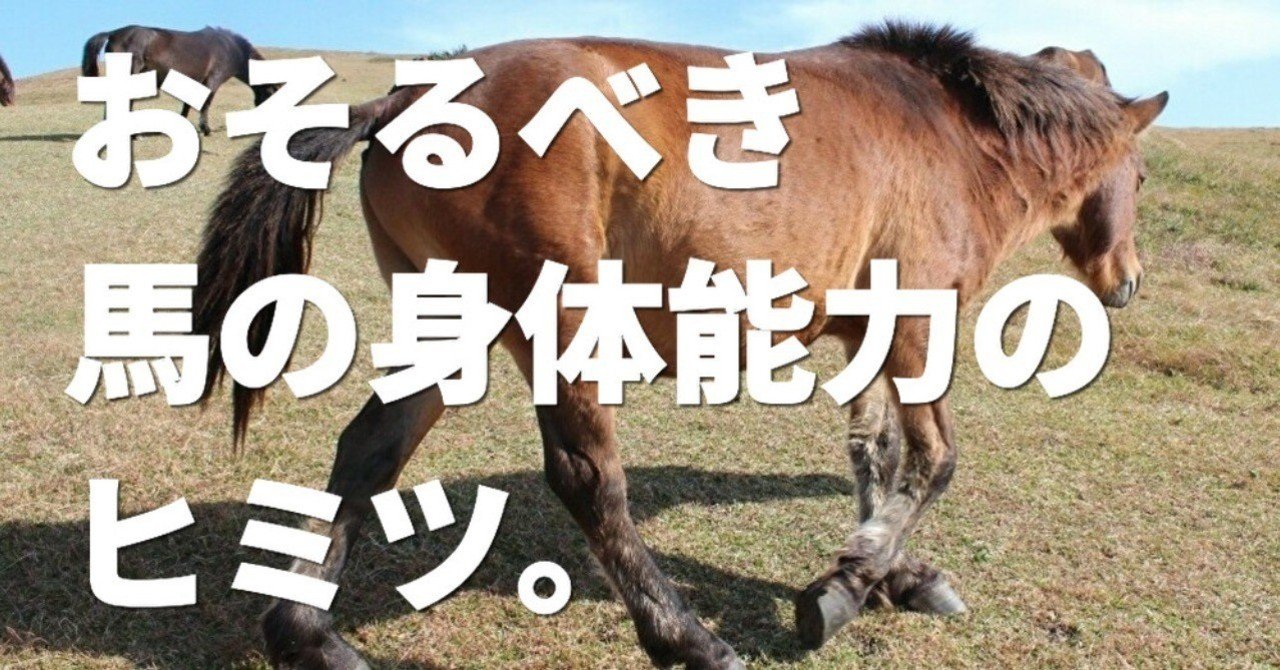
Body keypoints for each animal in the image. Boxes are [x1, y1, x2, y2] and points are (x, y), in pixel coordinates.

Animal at [81, 25, 279, 135]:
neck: (231, 49)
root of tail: (113, 33)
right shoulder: (212, 82)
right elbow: (205, 104)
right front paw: (206, 130)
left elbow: (187, 107)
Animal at [192, 22, 1167, 669]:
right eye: (1145, 173)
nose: (1129, 280)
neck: (955, 135)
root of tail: (401, 98)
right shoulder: (914, 326)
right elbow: (933, 462)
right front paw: (855, 576)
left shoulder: (864, 337)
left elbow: (874, 456)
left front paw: (881, 575)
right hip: (559, 322)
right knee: (589, 483)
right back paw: (686, 639)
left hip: (454, 327)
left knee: (369, 451)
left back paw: (308, 634)